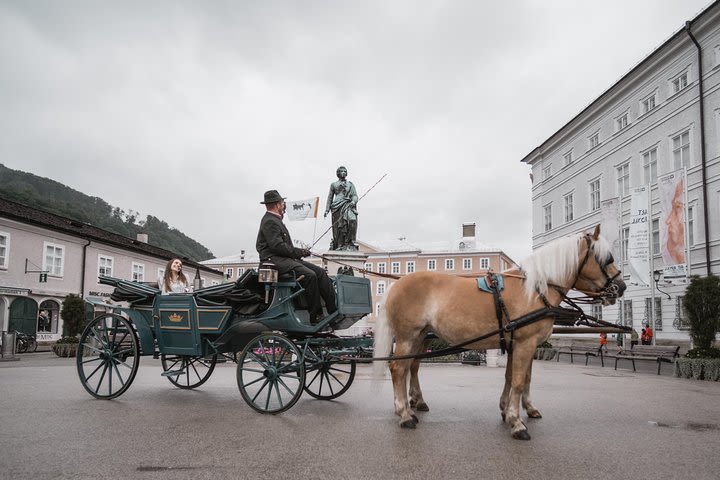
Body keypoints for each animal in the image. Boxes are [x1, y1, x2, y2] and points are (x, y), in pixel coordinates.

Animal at [374, 225, 628, 438]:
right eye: (608, 258)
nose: (622, 287)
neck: (535, 289)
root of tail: (397, 284)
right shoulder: (526, 343)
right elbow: (518, 380)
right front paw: (517, 422)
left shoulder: (518, 343)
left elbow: (517, 377)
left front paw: (510, 410)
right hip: (407, 336)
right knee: (398, 369)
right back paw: (404, 414)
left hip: (419, 337)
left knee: (410, 367)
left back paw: (412, 406)